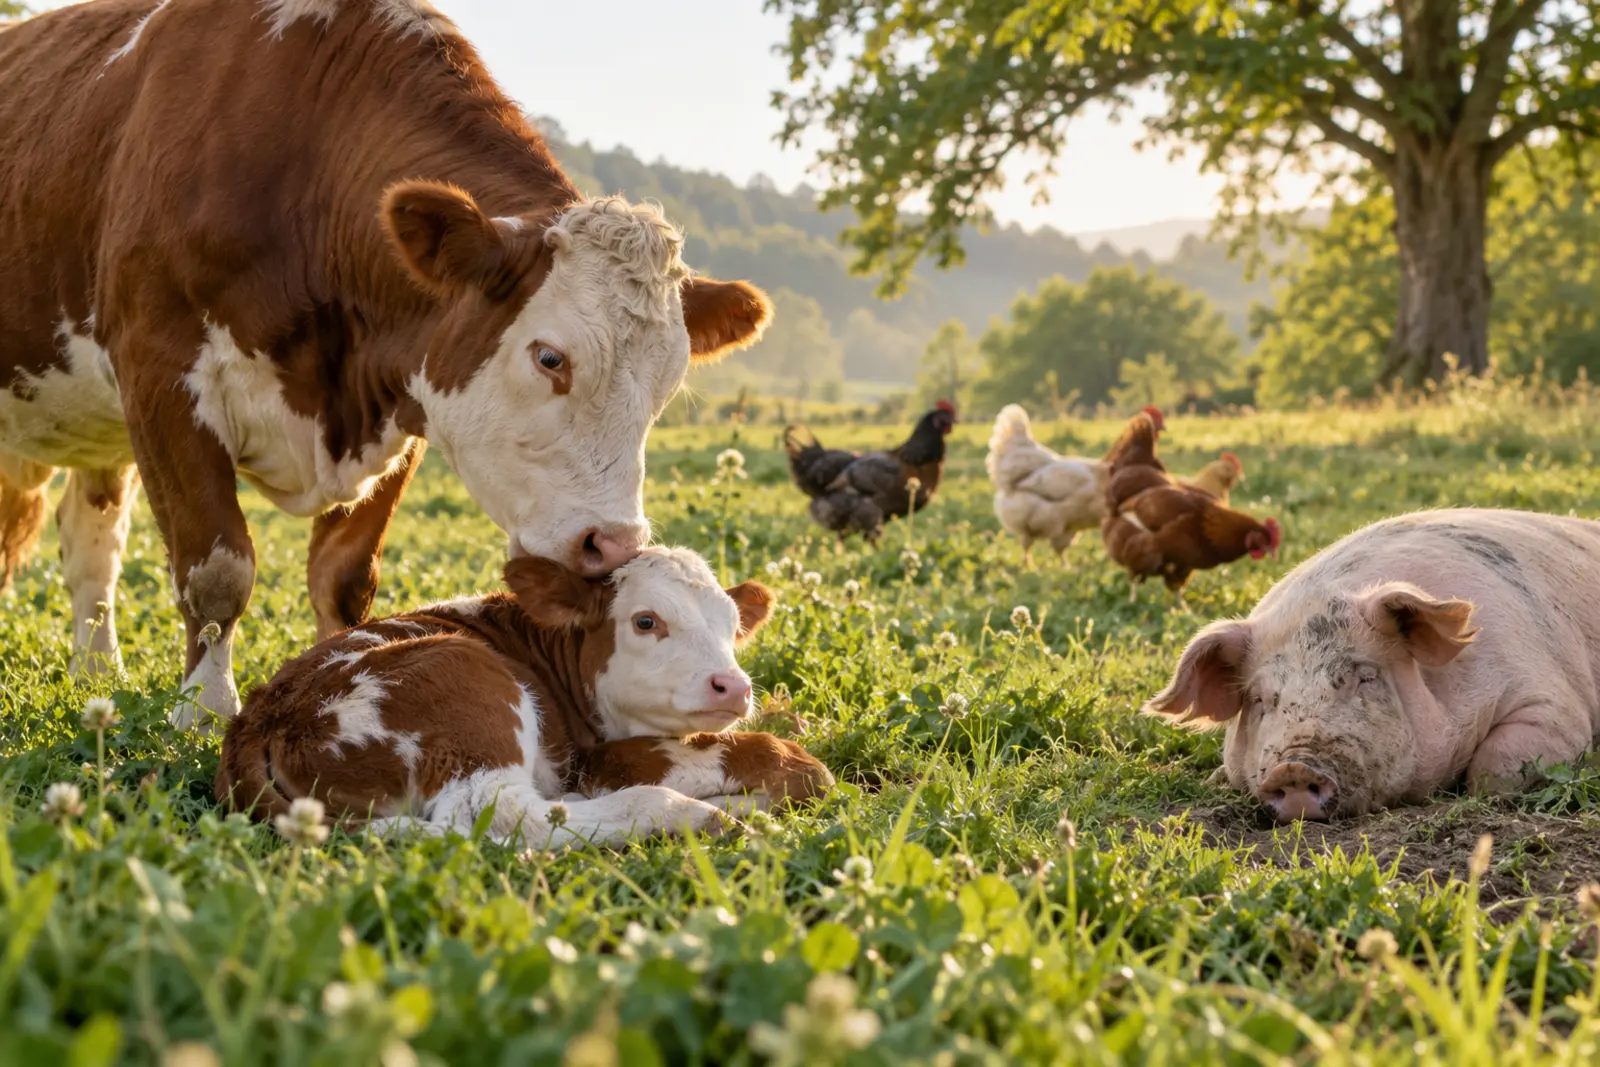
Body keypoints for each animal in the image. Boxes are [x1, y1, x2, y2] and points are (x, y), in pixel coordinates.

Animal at [0, 0, 771, 727]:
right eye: (550, 356)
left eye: (665, 388)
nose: (612, 545)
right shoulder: (161, 374)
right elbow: (217, 568)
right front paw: (206, 709)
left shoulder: (398, 398)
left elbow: (344, 578)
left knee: (91, 545)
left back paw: (97, 675)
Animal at [216, 547, 834, 847]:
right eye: (646, 620)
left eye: (732, 625)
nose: (734, 686)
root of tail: (261, 717)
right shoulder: (596, 755)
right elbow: (806, 769)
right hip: (469, 690)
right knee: (507, 815)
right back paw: (701, 815)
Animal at [1144, 509, 1600, 821]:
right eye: (1260, 699)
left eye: (1365, 677)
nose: (1294, 767)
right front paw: (1214, 781)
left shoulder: (1549, 700)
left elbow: (1494, 770)